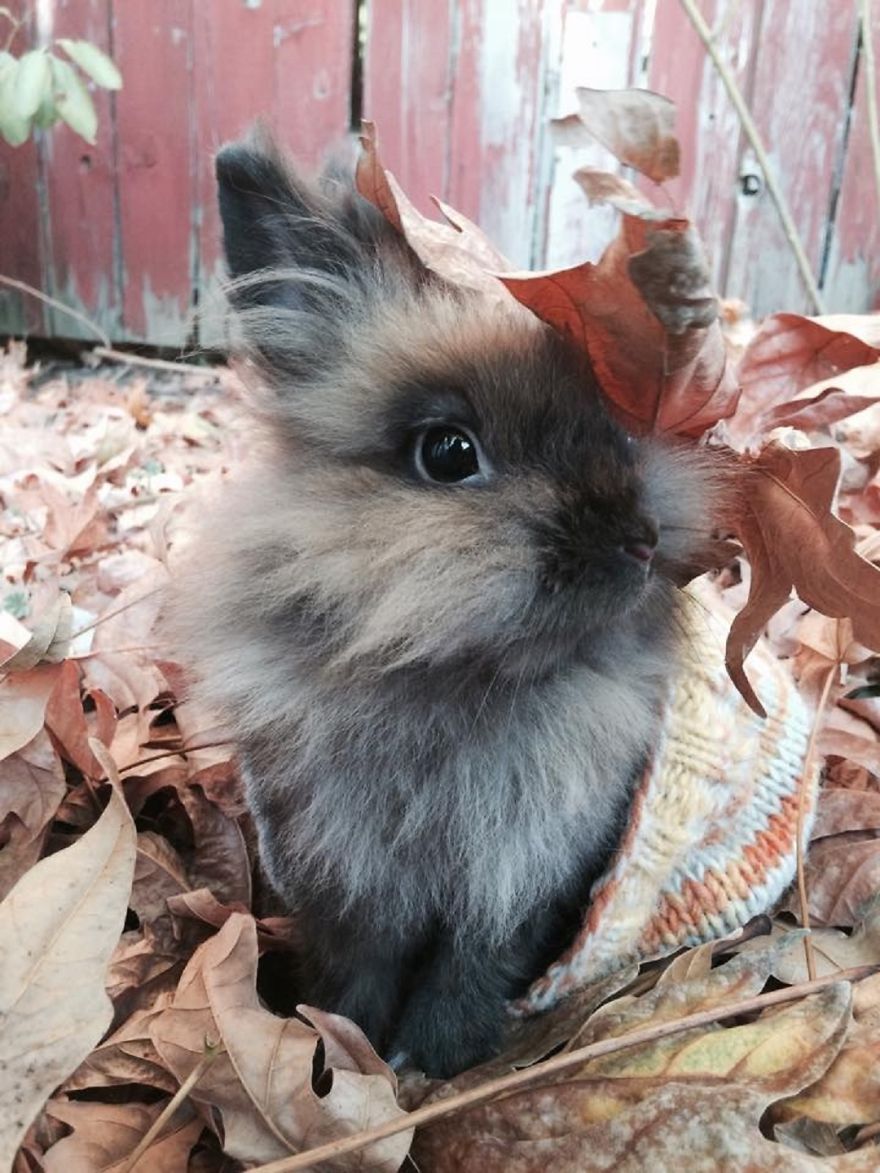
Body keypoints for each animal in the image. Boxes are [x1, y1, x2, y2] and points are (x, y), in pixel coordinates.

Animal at [173, 129, 726, 1078]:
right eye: (448, 452)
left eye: (620, 431)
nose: (640, 540)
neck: (453, 688)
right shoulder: (345, 866)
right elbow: (364, 959)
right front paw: (344, 1036)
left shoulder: (529, 865)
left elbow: (474, 962)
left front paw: (432, 1060)